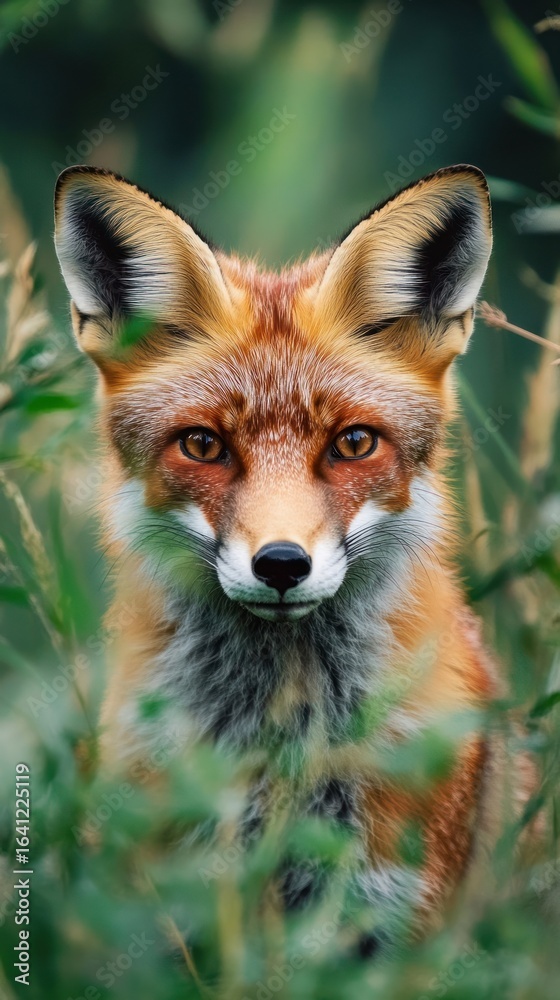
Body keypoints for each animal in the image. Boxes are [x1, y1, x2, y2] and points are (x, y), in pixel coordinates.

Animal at [54, 162, 517, 949]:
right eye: (203, 444)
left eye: (354, 443)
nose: (279, 565)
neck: (281, 747)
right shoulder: (160, 906)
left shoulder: (399, 920)